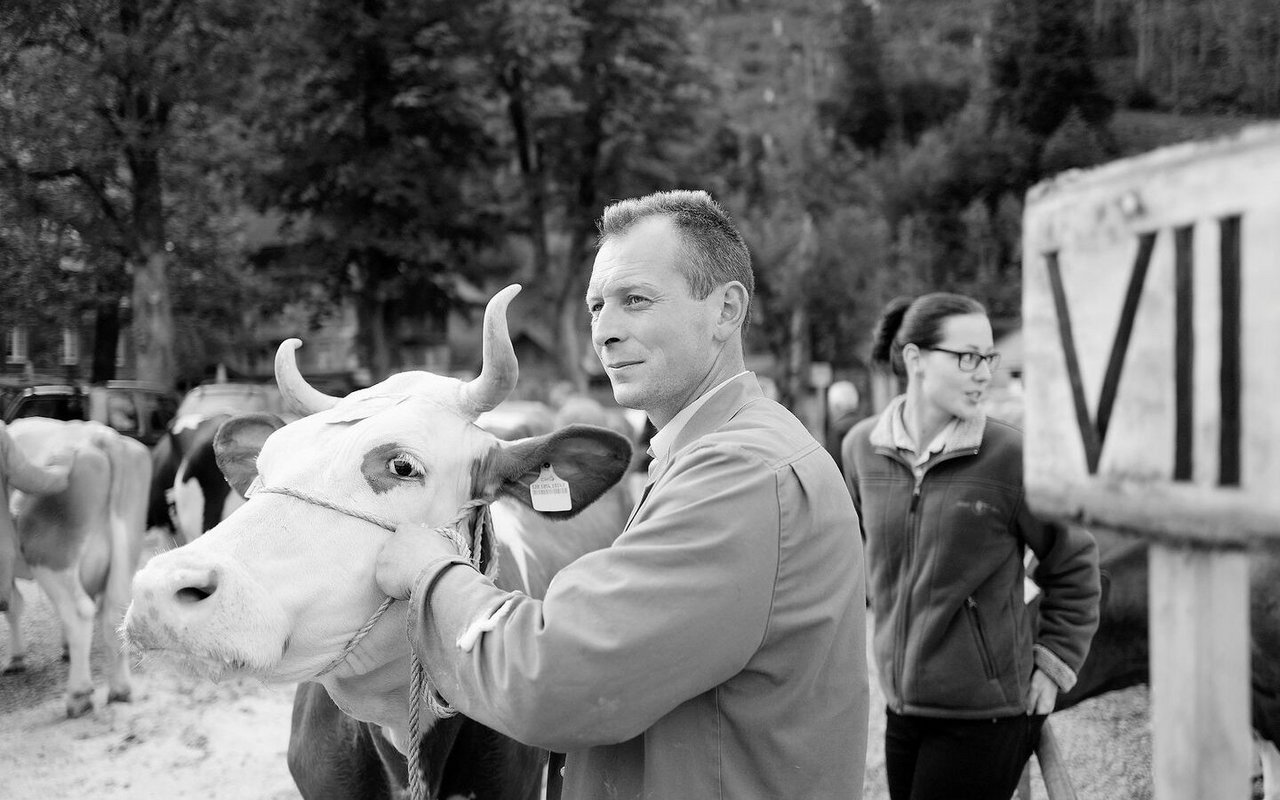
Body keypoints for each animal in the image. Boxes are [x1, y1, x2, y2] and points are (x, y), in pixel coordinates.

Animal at [2, 417, 151, 716]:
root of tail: (99, 435)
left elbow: (13, 605)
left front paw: (15, 658)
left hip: (51, 557)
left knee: (79, 611)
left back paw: (78, 695)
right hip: (124, 553)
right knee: (113, 611)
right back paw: (120, 689)